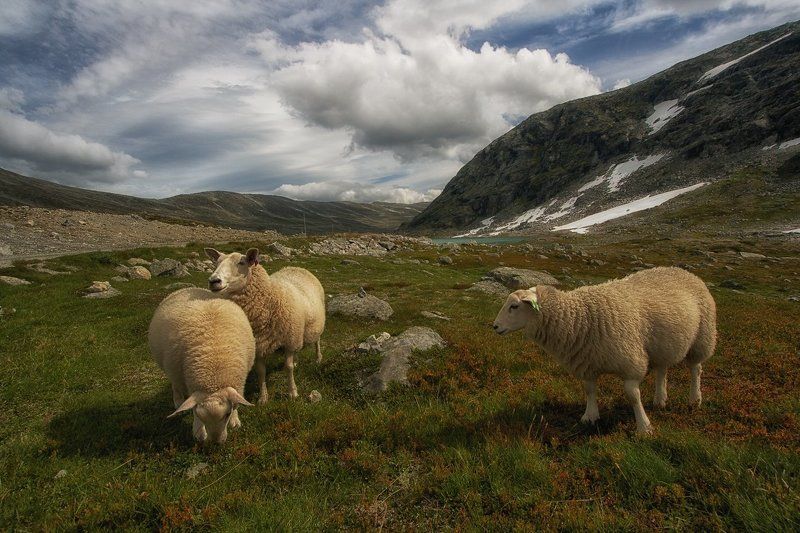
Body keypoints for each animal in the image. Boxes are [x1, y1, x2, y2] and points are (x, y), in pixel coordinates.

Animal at [148, 287, 255, 444]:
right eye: (200, 416)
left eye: (227, 414)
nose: (216, 442)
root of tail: (186, 288)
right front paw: (198, 431)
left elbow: (236, 399)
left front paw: (235, 421)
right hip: (172, 369)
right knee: (175, 385)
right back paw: (178, 402)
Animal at [205, 247, 326, 403]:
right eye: (216, 263)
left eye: (242, 262)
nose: (213, 281)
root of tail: (296, 267)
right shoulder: (259, 346)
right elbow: (261, 372)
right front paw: (263, 398)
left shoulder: (288, 340)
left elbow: (288, 368)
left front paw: (292, 392)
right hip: (297, 332)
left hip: (313, 326)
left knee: (317, 341)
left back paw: (318, 358)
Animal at [492, 266, 716, 434]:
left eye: (514, 306)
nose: (494, 326)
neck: (580, 316)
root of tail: (683, 270)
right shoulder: (587, 362)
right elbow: (590, 390)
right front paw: (589, 417)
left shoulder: (631, 362)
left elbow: (632, 395)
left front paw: (644, 427)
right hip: (663, 345)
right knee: (662, 370)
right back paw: (660, 400)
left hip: (702, 337)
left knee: (696, 369)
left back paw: (694, 399)